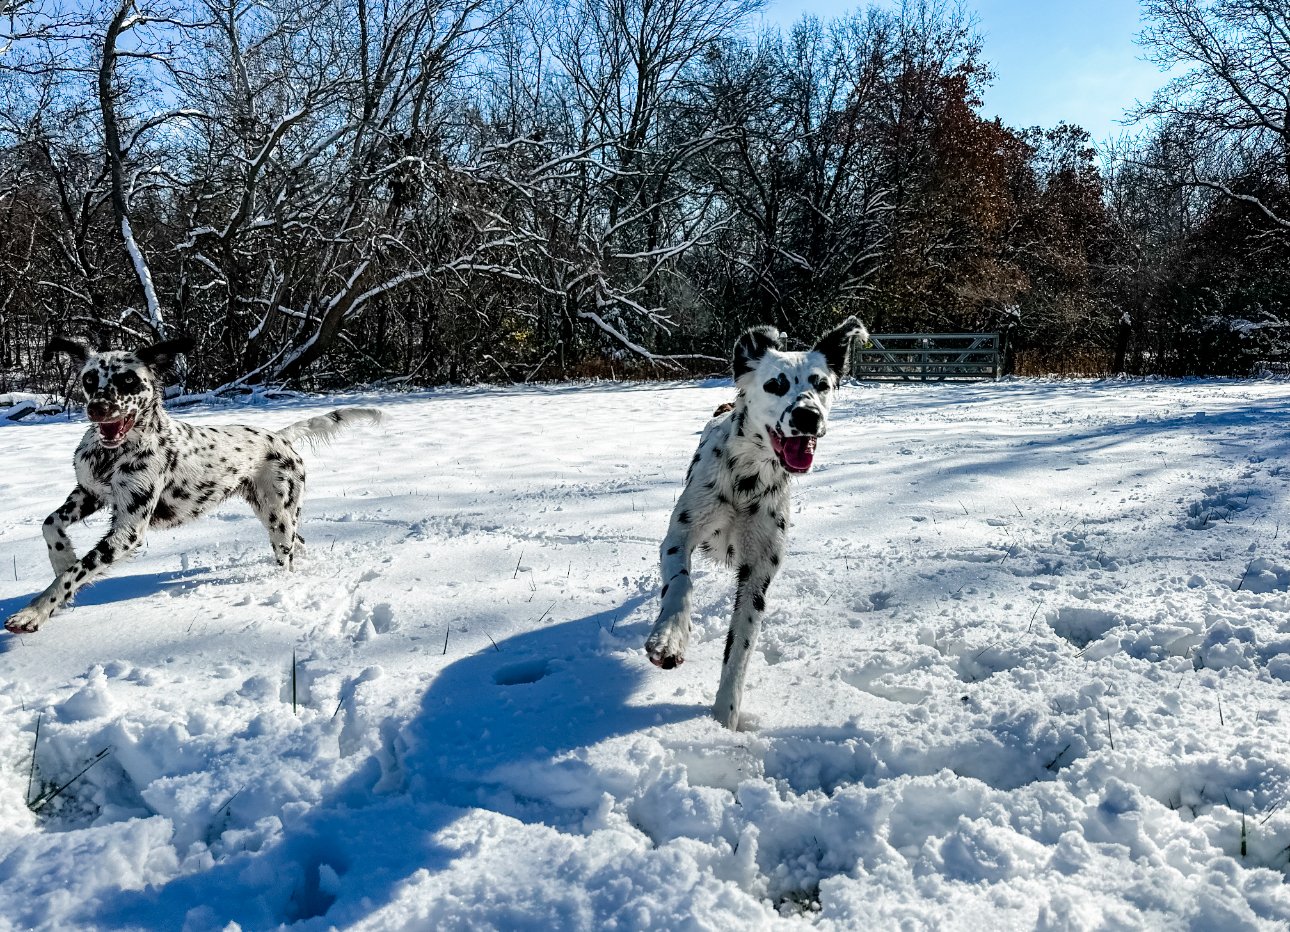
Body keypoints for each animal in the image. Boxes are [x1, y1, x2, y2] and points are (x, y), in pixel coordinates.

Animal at [5, 333, 379, 632]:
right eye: (89, 379)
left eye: (128, 381)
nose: (98, 408)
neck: (113, 457)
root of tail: (279, 436)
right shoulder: (89, 493)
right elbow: (50, 525)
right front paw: (62, 558)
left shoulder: (129, 530)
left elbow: (76, 573)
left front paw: (33, 612)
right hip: (275, 514)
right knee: (300, 544)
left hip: (278, 520)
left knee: (287, 556)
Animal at [642, 316, 866, 728]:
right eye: (775, 384)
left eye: (821, 384)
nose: (808, 416)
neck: (748, 478)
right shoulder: (681, 534)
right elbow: (681, 583)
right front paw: (669, 637)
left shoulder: (758, 571)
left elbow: (740, 649)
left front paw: (723, 719)